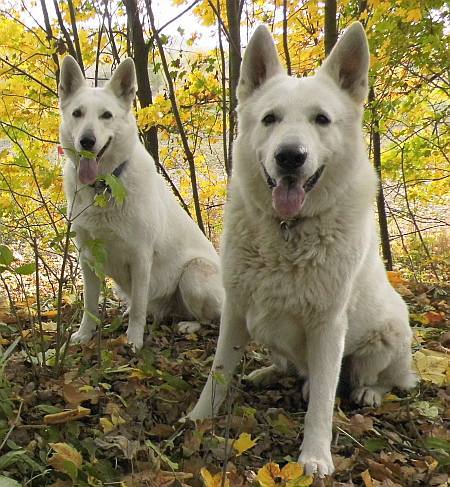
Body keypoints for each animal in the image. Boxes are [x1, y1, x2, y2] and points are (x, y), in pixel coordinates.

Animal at [58, 56, 223, 350]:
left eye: (106, 115)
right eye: (77, 113)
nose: (87, 141)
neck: (105, 186)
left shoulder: (140, 257)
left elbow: (138, 308)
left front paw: (133, 340)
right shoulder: (88, 258)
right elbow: (90, 304)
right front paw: (84, 334)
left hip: (193, 275)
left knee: (209, 319)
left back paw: (189, 324)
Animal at [188, 22, 416, 476]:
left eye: (322, 120)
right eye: (270, 119)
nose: (290, 156)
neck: (287, 231)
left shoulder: (328, 326)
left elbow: (325, 403)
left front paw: (315, 455)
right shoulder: (235, 309)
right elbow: (218, 372)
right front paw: (200, 418)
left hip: (391, 333)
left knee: (377, 380)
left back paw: (369, 392)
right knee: (292, 368)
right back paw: (267, 374)